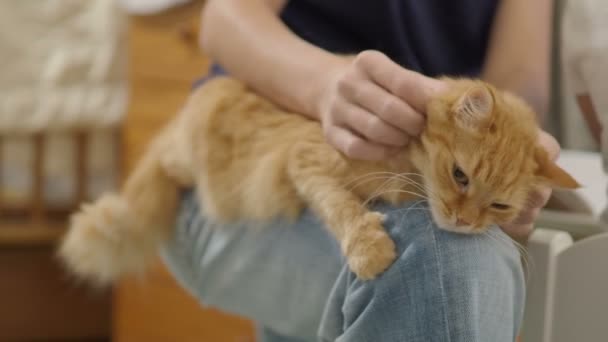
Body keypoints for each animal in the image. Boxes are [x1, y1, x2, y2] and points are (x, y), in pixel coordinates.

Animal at [58, 76, 580, 284]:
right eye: (460, 177)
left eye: (500, 207)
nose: (465, 223)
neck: (404, 162)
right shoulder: (305, 161)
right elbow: (342, 208)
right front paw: (370, 249)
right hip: (186, 152)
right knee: (152, 173)